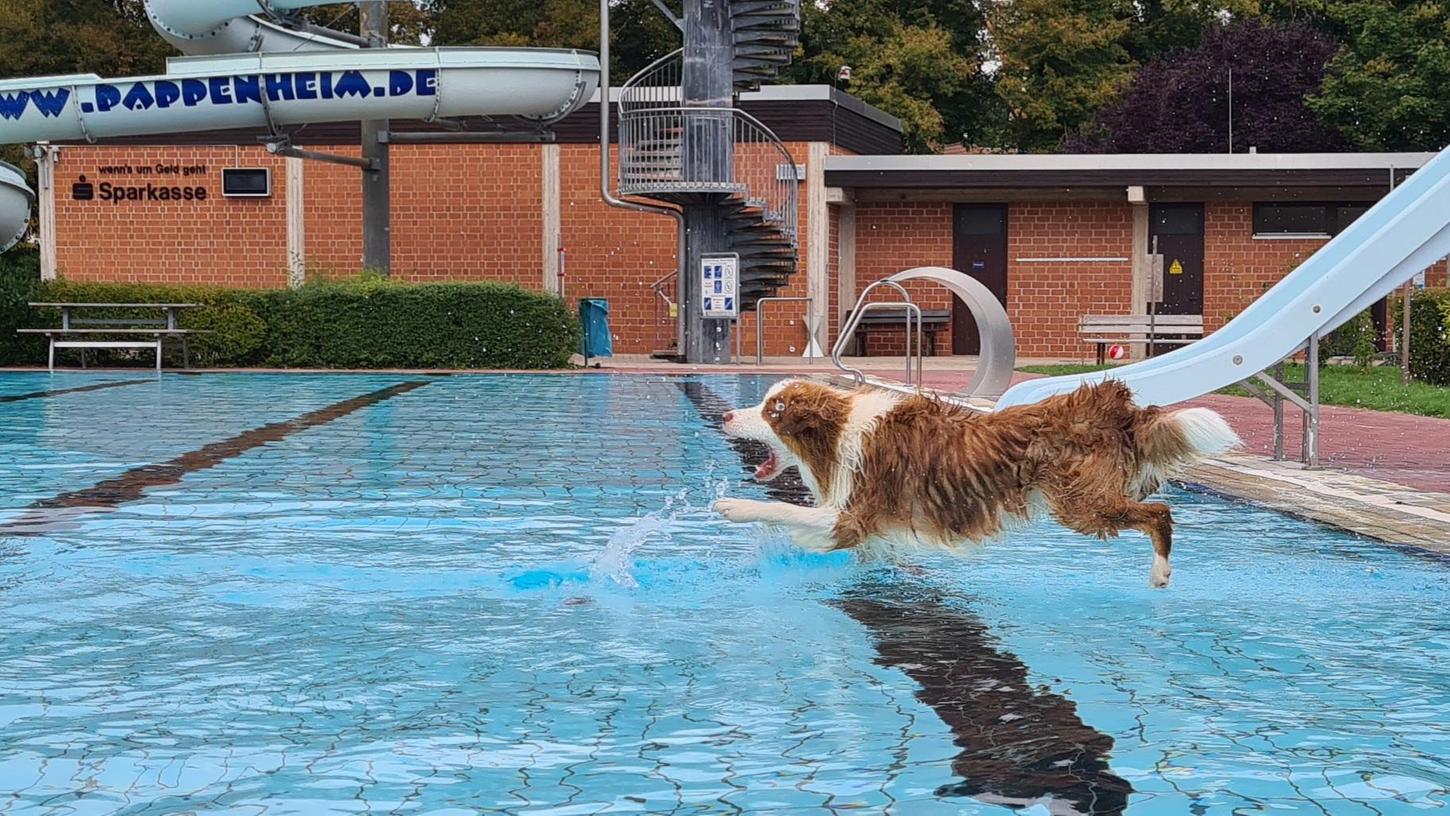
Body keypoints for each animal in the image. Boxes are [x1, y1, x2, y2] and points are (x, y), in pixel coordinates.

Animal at [713, 379, 1235, 591]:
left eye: (773, 411)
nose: (726, 415)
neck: (837, 429)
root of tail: (1114, 407)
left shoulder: (852, 515)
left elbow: (784, 510)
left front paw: (732, 507)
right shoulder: (867, 528)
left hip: (1081, 504)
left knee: (1160, 513)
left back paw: (1160, 573)